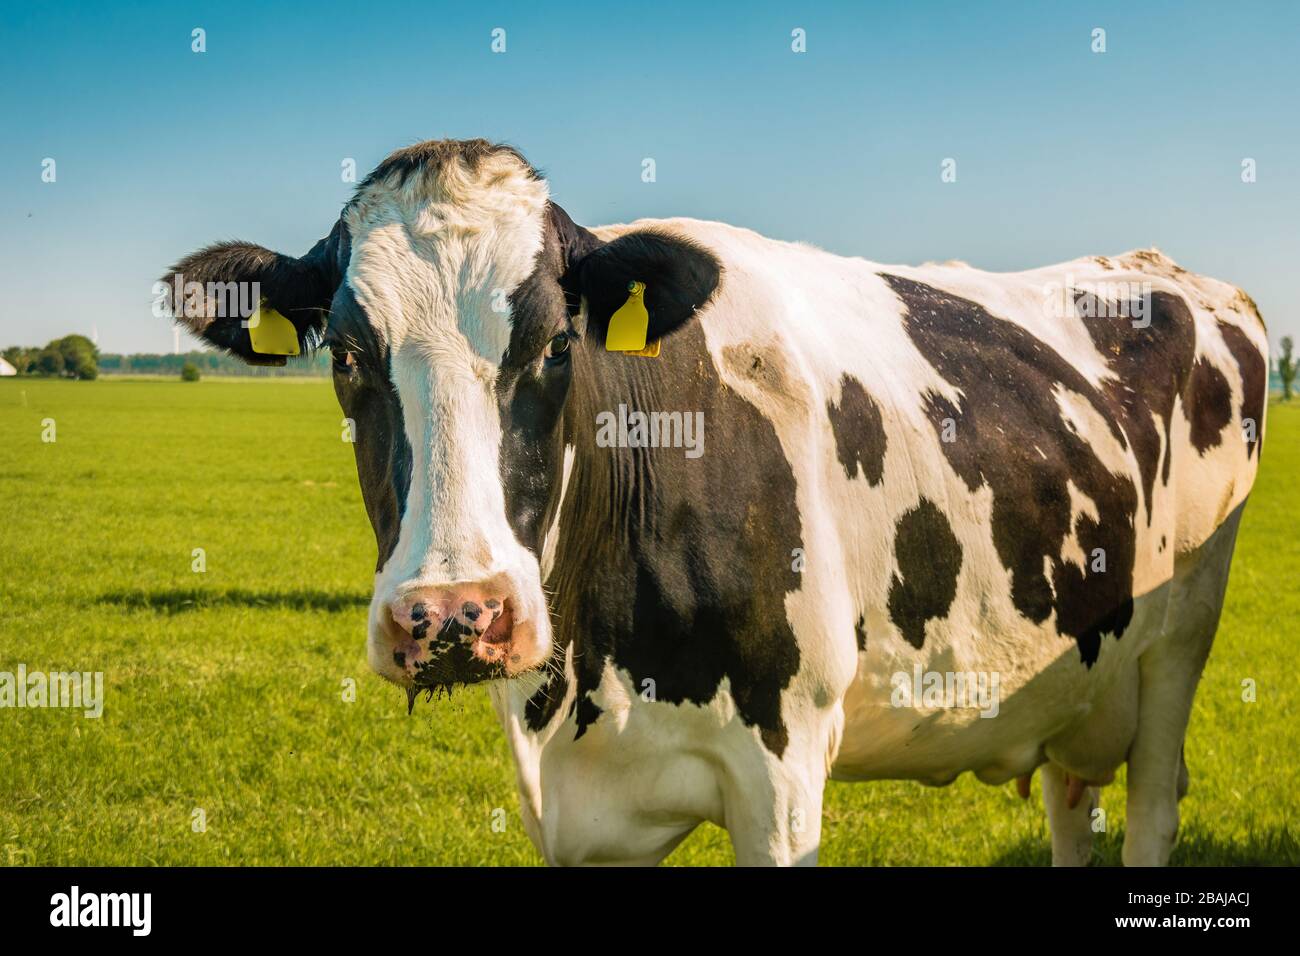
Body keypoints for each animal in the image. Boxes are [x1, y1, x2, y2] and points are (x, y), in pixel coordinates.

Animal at [162, 138, 1268, 863]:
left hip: (1180, 644)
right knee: (1071, 804)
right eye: (347, 357)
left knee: (1152, 805)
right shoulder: (577, 817)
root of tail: (1165, 269)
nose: (454, 614)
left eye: (557, 344)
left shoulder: (779, 779)